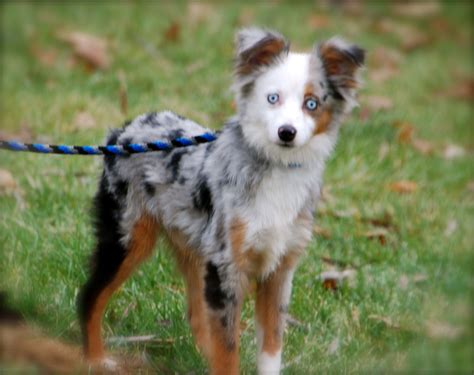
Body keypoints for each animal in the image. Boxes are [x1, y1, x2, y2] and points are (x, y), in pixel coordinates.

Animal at [78, 27, 366, 374]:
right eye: (272, 98)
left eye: (311, 103)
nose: (287, 132)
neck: (275, 168)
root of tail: (121, 132)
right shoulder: (227, 266)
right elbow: (228, 349)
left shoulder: (279, 270)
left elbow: (270, 345)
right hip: (128, 236)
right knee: (90, 296)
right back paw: (95, 359)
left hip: (193, 248)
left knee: (197, 318)